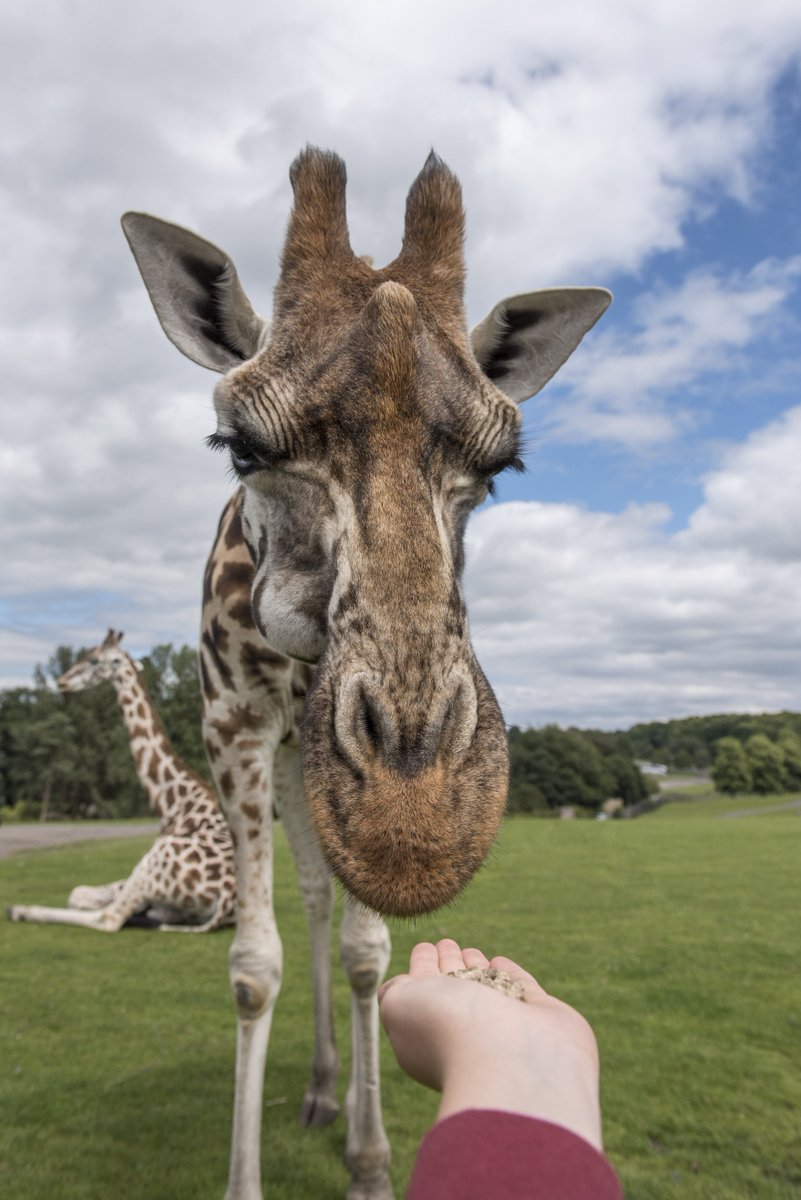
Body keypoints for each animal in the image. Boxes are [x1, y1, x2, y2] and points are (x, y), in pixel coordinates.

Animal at [8, 630, 236, 933]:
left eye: (94, 660)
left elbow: (76, 894)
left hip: (152, 870)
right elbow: (78, 895)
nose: (63, 681)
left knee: (108, 918)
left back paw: (21, 910)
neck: (174, 803)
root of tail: (226, 898)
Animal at [122, 148, 611, 1200]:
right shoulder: (235, 728)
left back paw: (328, 1092)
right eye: (241, 445)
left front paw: (371, 1158)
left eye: (502, 467)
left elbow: (365, 950)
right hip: (283, 761)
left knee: (325, 902)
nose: (412, 825)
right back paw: (313, 1086)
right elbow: (252, 964)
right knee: (306, 894)